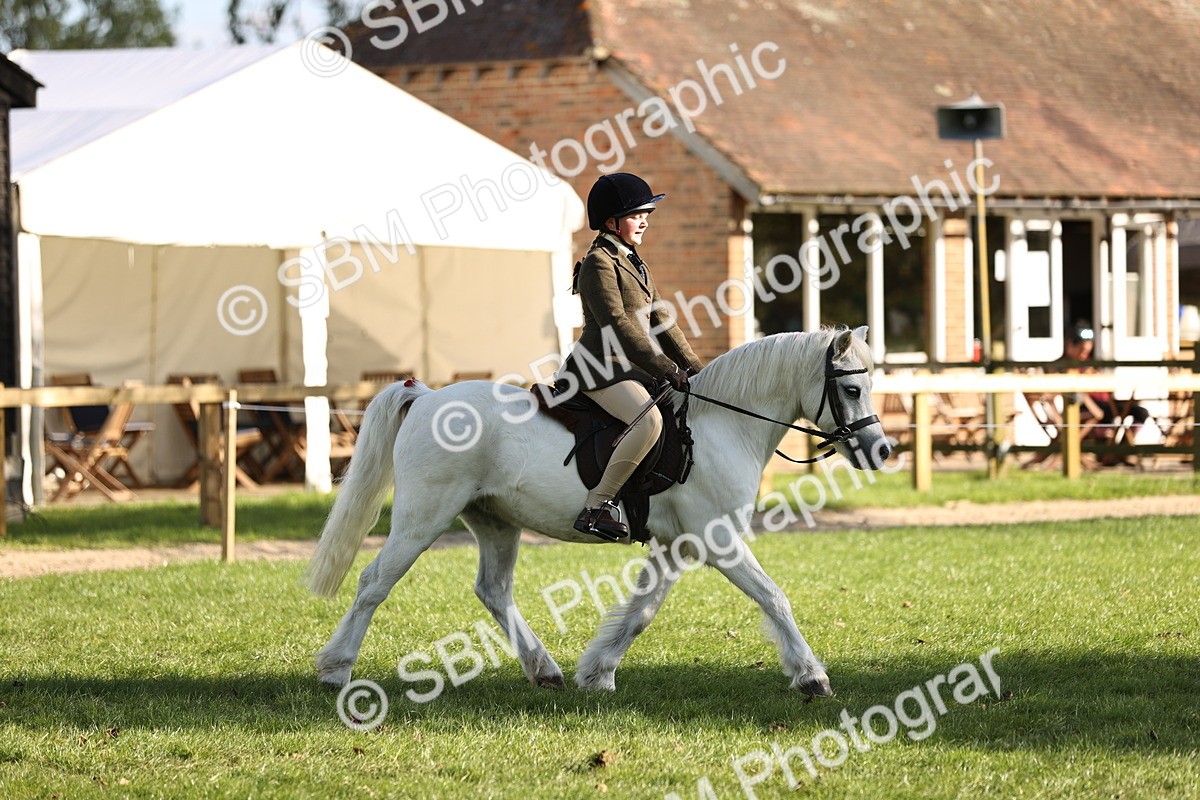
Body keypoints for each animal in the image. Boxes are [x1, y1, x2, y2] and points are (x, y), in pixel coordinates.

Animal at [305, 325, 890, 697]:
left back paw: (545, 670)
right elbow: (774, 597)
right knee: (374, 582)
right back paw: (335, 670)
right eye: (851, 387)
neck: (721, 426)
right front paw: (812, 676)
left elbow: (641, 612)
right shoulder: (719, 541)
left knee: (493, 590)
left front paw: (598, 672)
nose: (882, 451)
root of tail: (425, 396)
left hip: (495, 522)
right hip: (423, 517)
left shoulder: (678, 546)